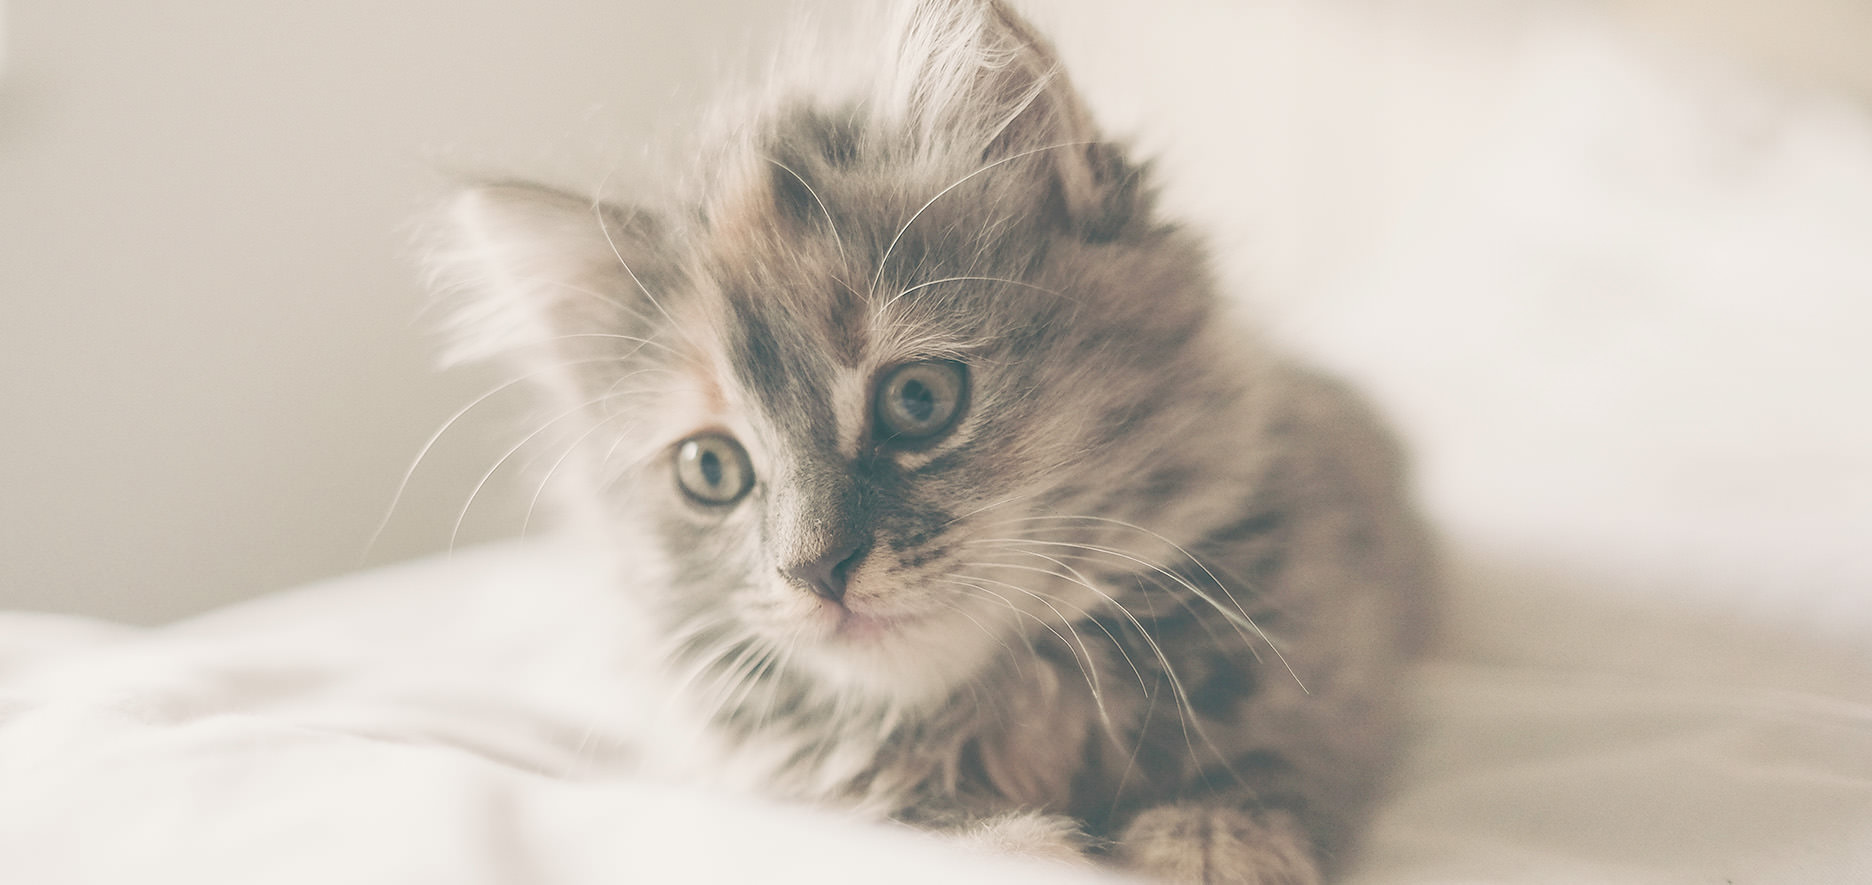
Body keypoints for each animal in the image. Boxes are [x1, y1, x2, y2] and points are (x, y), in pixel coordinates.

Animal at [430, 3, 1437, 879]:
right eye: (710, 469)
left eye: (918, 399)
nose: (815, 571)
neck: (1015, 706)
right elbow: (957, 837)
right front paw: (1036, 846)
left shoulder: (1331, 658)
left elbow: (1261, 769)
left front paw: (1211, 842)